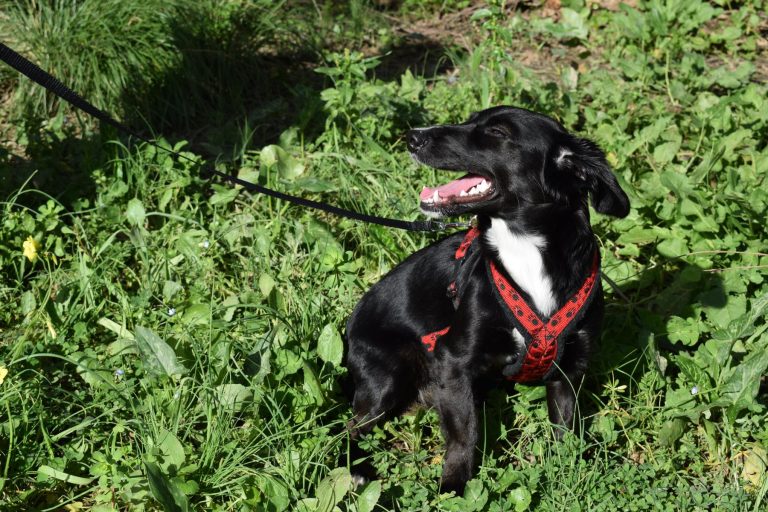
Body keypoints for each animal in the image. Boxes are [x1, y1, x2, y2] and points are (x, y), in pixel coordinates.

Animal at [344, 106, 629, 494]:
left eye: (497, 132)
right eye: (468, 119)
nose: (412, 136)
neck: (524, 248)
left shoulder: (570, 367)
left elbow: (565, 428)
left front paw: (568, 472)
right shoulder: (453, 360)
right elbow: (466, 434)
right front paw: (453, 488)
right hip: (386, 378)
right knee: (349, 428)